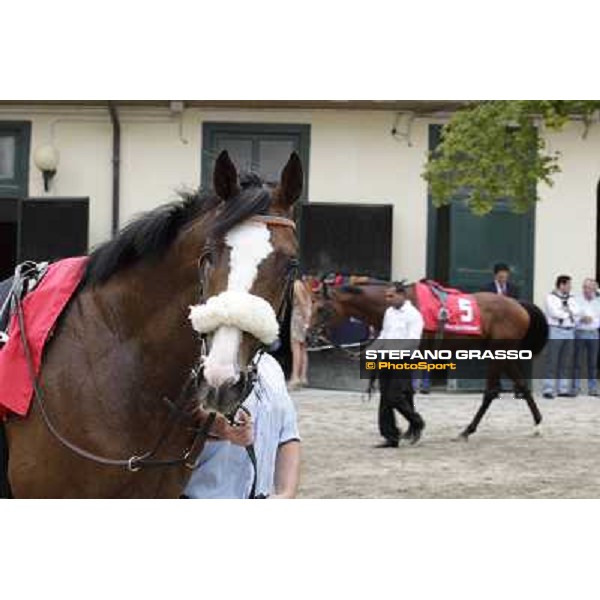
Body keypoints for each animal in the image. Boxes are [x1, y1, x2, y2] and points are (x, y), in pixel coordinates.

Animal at [312, 282, 552, 440]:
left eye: (321, 308)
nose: (310, 335)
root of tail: (519, 305)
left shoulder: (411, 355)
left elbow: (405, 390)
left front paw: (414, 427)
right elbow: (407, 391)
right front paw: (411, 428)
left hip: (498, 352)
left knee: (492, 391)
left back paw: (468, 430)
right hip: (500, 354)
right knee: (521, 385)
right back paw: (537, 425)